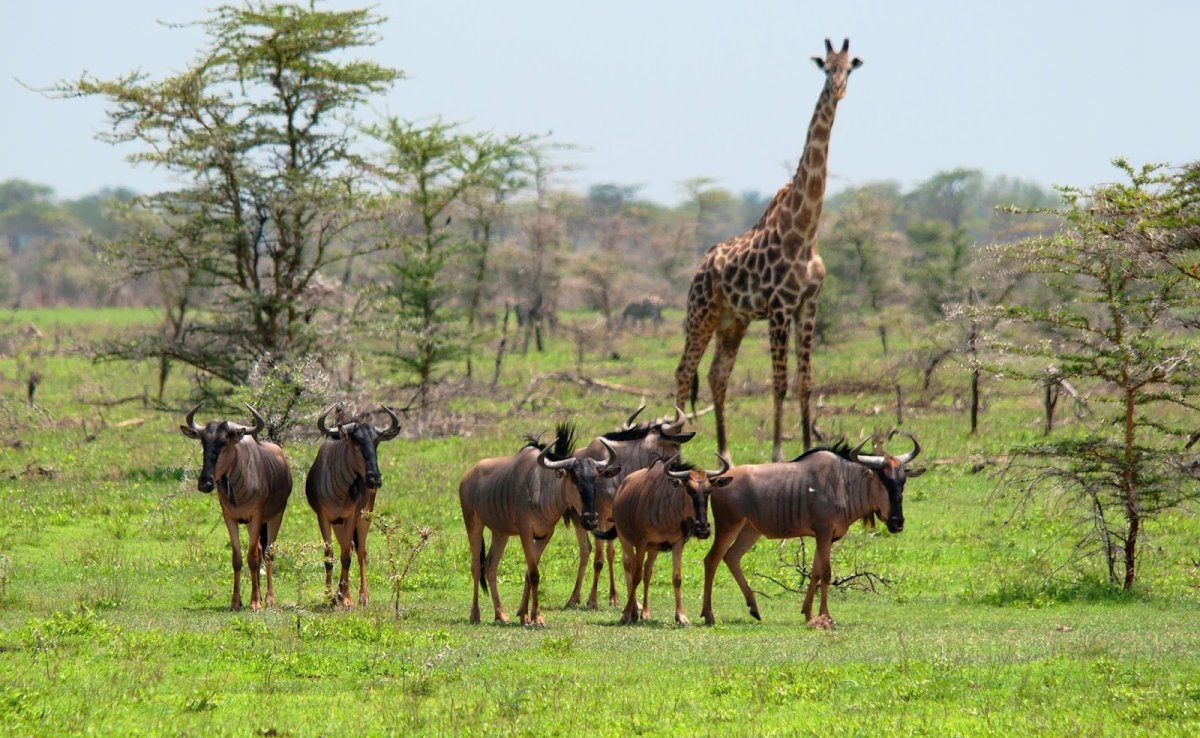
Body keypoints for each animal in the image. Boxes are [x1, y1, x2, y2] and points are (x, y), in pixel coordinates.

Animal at [676, 39, 864, 460]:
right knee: (683, 371)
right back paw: (674, 450)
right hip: (701, 313)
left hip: (734, 320)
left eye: (850, 68)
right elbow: (779, 382)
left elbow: (805, 382)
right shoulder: (779, 307)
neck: (805, 229)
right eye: (825, 68)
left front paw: (809, 448)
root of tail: (700, 266)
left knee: (716, 374)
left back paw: (725, 454)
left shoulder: (808, 305)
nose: (838, 90)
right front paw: (778, 453)